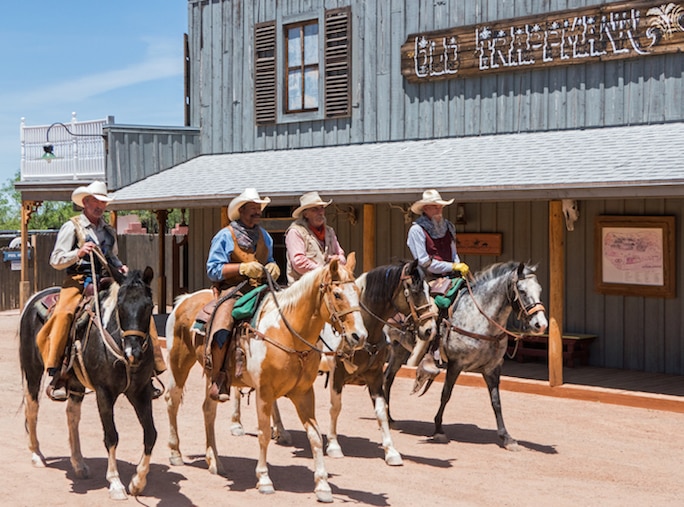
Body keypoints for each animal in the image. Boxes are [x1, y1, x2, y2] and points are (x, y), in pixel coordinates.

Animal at [19, 268, 159, 502]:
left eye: (148, 306)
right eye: (120, 306)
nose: (133, 353)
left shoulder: (140, 391)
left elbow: (151, 433)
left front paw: (138, 482)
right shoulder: (104, 393)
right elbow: (111, 436)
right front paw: (116, 483)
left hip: (76, 383)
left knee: (72, 416)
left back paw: (79, 464)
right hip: (33, 372)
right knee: (32, 409)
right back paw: (37, 455)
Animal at [164, 256, 368, 502]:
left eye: (358, 292)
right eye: (337, 294)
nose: (359, 336)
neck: (286, 333)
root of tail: (183, 300)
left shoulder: (303, 393)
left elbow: (315, 436)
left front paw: (323, 486)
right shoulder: (264, 392)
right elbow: (263, 434)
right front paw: (264, 479)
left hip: (212, 376)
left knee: (208, 410)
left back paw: (214, 461)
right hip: (179, 363)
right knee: (172, 402)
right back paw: (175, 453)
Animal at [384, 262, 552, 448]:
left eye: (539, 289)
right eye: (522, 291)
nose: (541, 325)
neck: (480, 319)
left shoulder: (492, 368)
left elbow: (496, 401)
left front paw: (507, 438)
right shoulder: (455, 364)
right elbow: (446, 395)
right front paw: (438, 430)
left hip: (399, 350)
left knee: (388, 378)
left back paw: (389, 418)